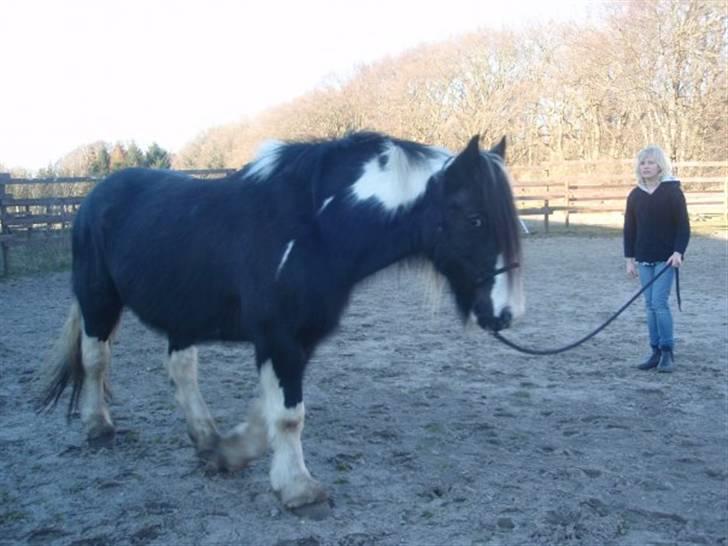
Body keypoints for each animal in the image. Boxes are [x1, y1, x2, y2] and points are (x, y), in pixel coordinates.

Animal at [38, 132, 524, 510]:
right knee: (95, 360)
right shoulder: (279, 338)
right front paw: (298, 490)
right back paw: (99, 428)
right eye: (475, 219)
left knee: (181, 369)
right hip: (98, 300)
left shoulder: (297, 340)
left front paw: (230, 453)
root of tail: (95, 196)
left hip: (181, 312)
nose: (507, 314)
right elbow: (289, 415)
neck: (314, 228)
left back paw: (205, 436)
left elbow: (271, 409)